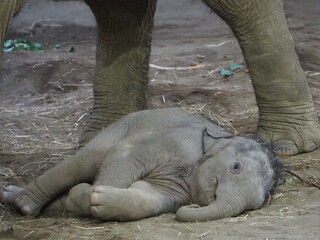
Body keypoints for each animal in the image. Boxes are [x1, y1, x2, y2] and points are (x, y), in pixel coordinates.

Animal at [0, 108, 276, 222]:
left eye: (256, 205)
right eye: (236, 167)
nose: (192, 207)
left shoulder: (177, 189)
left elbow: (147, 196)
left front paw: (90, 199)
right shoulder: (177, 141)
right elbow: (127, 155)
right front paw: (89, 194)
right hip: (121, 126)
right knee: (85, 161)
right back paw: (23, 204)